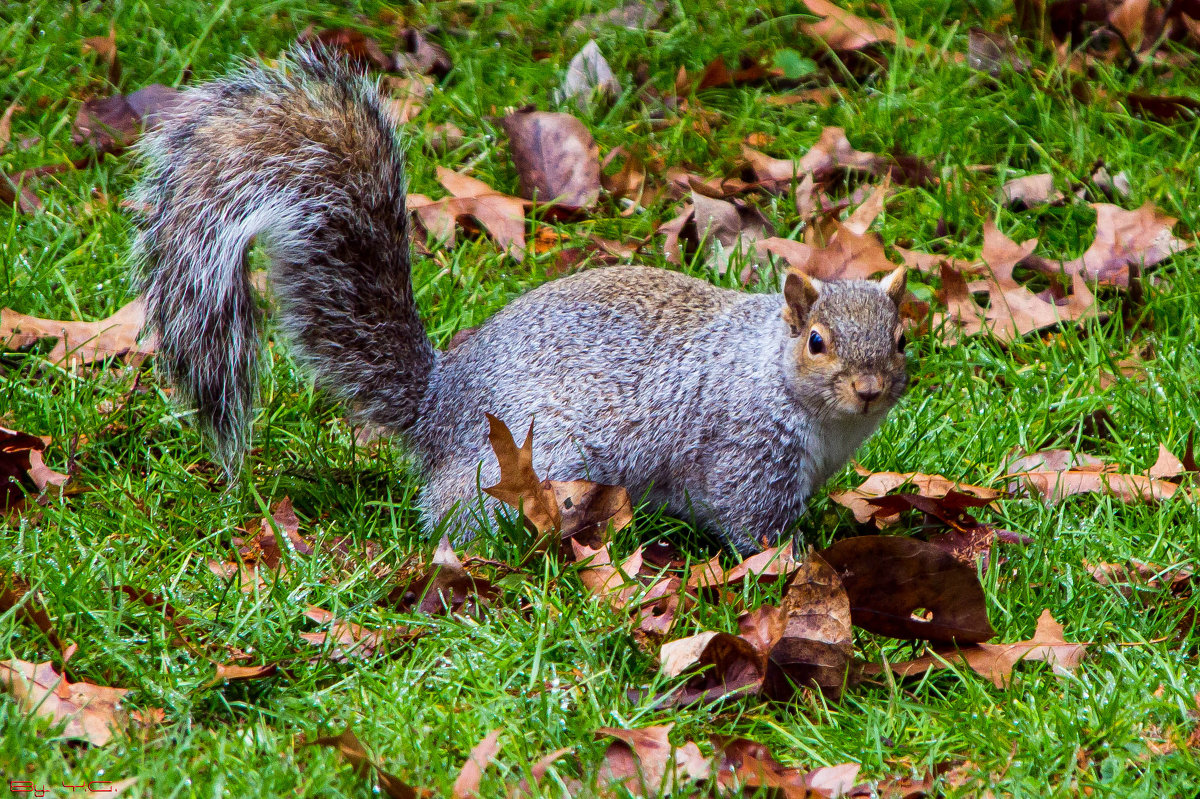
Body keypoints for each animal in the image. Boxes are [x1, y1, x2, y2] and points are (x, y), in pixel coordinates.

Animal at [133, 46, 907, 551]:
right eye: (817, 342)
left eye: (902, 340)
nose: (870, 388)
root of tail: (438, 404)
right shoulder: (743, 454)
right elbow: (753, 525)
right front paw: (797, 566)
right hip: (530, 459)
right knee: (454, 515)